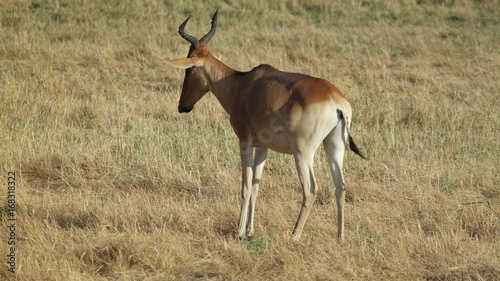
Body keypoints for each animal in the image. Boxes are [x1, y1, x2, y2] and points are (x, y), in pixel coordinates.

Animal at [166, 9, 366, 240]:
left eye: (189, 70)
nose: (183, 106)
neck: (243, 84)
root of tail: (336, 101)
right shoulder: (262, 146)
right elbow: (256, 185)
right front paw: (250, 230)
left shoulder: (245, 141)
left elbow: (245, 185)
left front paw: (240, 232)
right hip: (334, 145)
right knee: (340, 185)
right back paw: (340, 237)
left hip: (303, 151)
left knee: (310, 188)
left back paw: (294, 236)